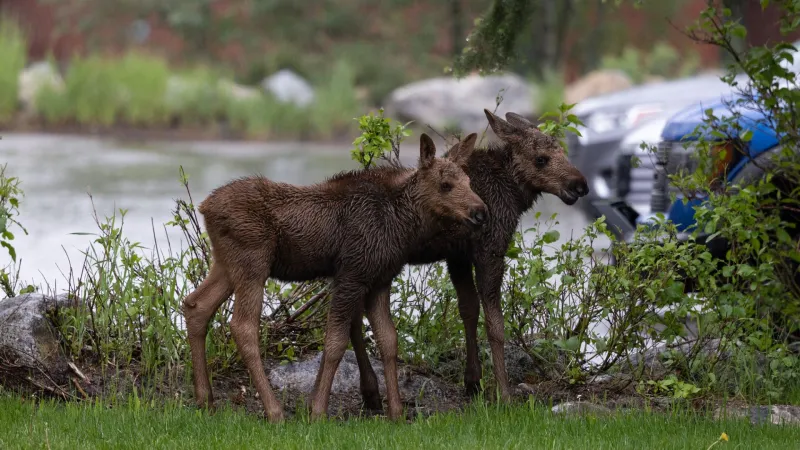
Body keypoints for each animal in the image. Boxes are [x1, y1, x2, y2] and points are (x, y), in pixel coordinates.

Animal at [181, 133, 487, 422]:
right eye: (445, 185)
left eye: (469, 181)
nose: (481, 212)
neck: (404, 227)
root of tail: (205, 207)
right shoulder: (351, 274)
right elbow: (336, 342)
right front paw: (317, 411)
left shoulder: (380, 280)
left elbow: (389, 340)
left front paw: (397, 413)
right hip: (253, 263)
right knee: (243, 326)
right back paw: (274, 411)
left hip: (226, 264)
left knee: (196, 305)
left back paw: (205, 400)